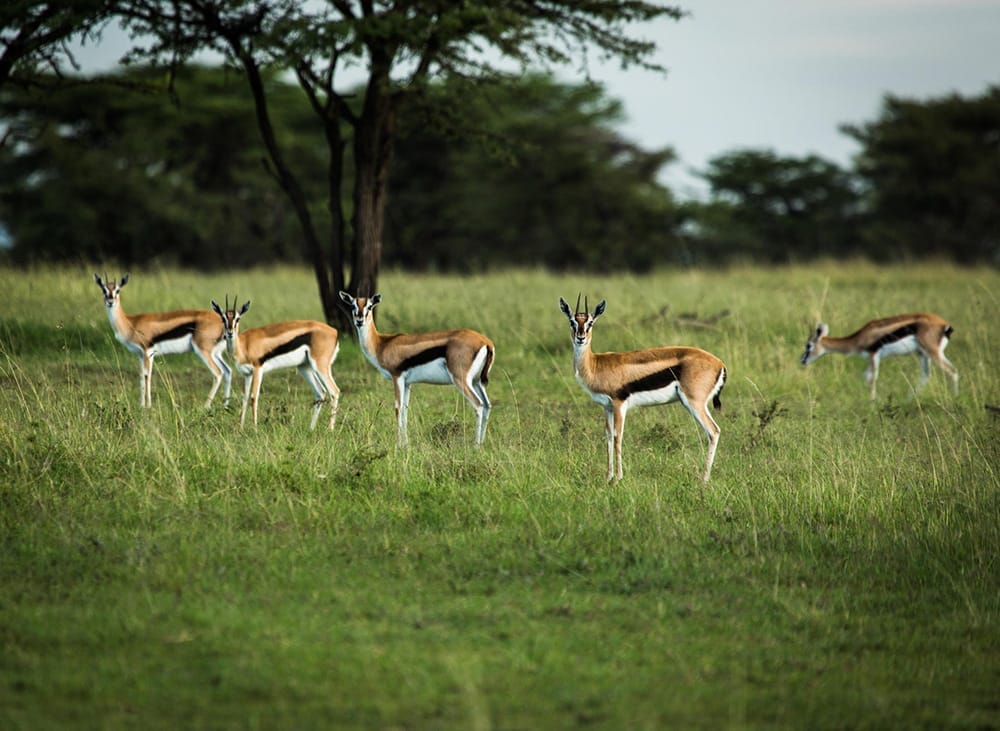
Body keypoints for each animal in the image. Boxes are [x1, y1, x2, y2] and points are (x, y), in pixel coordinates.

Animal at [94, 273, 231, 408]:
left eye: (117, 290)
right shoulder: (140, 354)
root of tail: (223, 322)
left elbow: (147, 376)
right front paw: (141, 405)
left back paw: (205, 406)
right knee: (228, 371)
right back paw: (225, 405)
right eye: (104, 289)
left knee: (218, 373)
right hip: (216, 353)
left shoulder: (148, 351)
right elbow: (141, 377)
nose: (110, 302)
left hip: (203, 351)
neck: (131, 323)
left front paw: (148, 406)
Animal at [210, 298, 341, 429]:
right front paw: (240, 428)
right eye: (223, 318)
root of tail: (334, 332)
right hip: (304, 367)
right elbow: (245, 398)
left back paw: (330, 429)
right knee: (320, 392)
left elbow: (254, 397)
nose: (229, 333)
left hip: (319, 366)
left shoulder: (258, 369)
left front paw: (255, 428)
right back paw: (311, 429)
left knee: (334, 391)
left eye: (238, 318)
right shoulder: (247, 374)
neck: (244, 345)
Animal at [338, 291, 494, 446]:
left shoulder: (397, 377)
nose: (359, 321)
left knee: (478, 405)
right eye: (353, 305)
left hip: (461, 380)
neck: (381, 344)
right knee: (487, 405)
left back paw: (476, 446)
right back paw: (482, 444)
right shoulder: (408, 383)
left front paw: (398, 445)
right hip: (476, 381)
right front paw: (405, 444)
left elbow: (398, 408)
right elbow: (405, 409)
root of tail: (485, 342)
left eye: (370, 306)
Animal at [559, 295, 727, 483]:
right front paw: (608, 477)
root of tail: (719, 363)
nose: (580, 338)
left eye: (590, 322)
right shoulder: (607, 407)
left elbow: (618, 437)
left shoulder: (619, 404)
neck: (595, 364)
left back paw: (704, 479)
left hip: (694, 403)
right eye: (572, 321)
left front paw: (618, 478)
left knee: (713, 431)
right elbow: (609, 437)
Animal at [800, 313, 958, 399]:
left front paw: (872, 404)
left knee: (952, 371)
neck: (859, 338)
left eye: (808, 345)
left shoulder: (873, 354)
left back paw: (954, 399)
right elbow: (866, 376)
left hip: (933, 353)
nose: (802, 359)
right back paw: (907, 400)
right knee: (926, 375)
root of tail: (945, 326)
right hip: (922, 354)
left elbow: (872, 379)